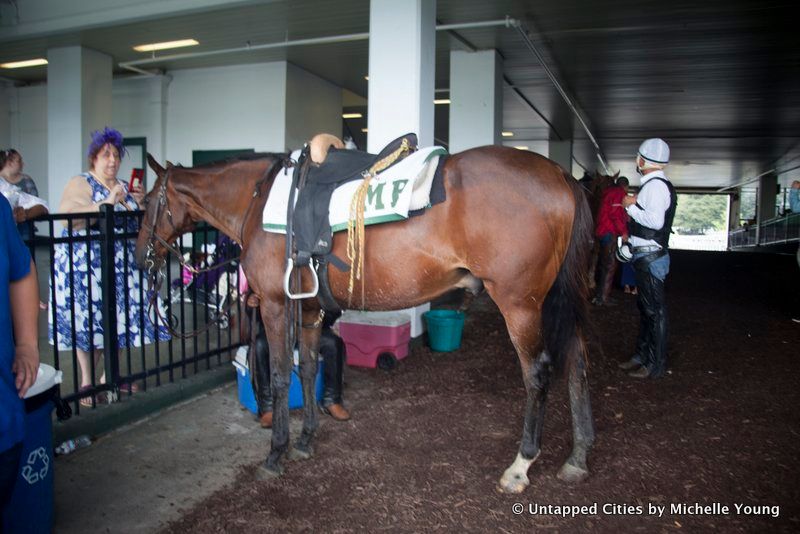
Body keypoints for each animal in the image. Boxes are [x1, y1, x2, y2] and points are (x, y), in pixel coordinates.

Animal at [134, 146, 592, 494]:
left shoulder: (275, 305)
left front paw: (276, 452)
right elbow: (309, 367)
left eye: (145, 203)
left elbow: (281, 375)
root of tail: (559, 174)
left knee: (538, 372)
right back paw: (579, 455)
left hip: (521, 304)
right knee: (577, 361)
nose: (141, 259)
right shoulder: (311, 308)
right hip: (559, 301)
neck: (259, 201)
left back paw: (521, 465)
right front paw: (306, 439)